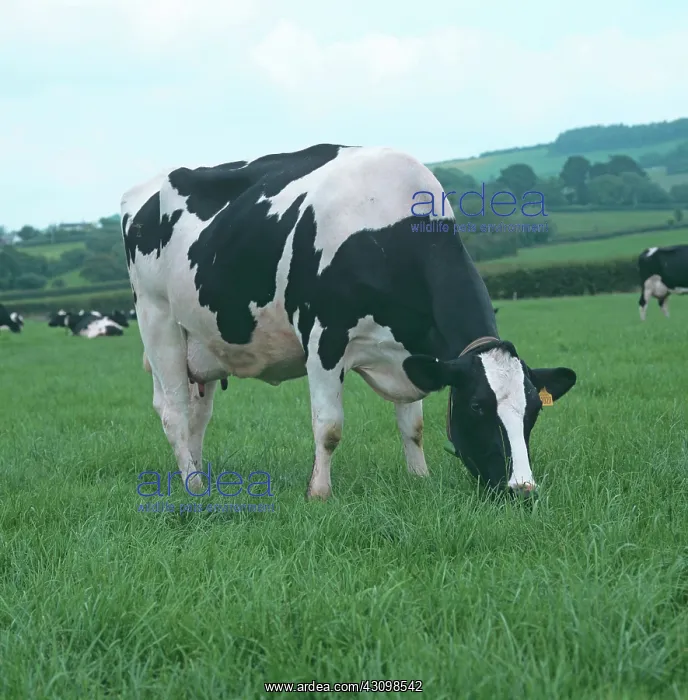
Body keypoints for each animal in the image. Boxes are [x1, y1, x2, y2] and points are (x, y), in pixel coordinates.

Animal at [121, 144, 577, 500]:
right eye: (478, 406)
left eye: (534, 409)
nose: (522, 489)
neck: (384, 232)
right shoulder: (324, 339)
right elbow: (329, 427)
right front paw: (318, 493)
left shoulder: (411, 350)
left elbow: (413, 425)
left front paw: (419, 480)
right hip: (157, 318)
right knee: (174, 410)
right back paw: (194, 487)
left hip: (202, 340)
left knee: (197, 414)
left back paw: (199, 473)